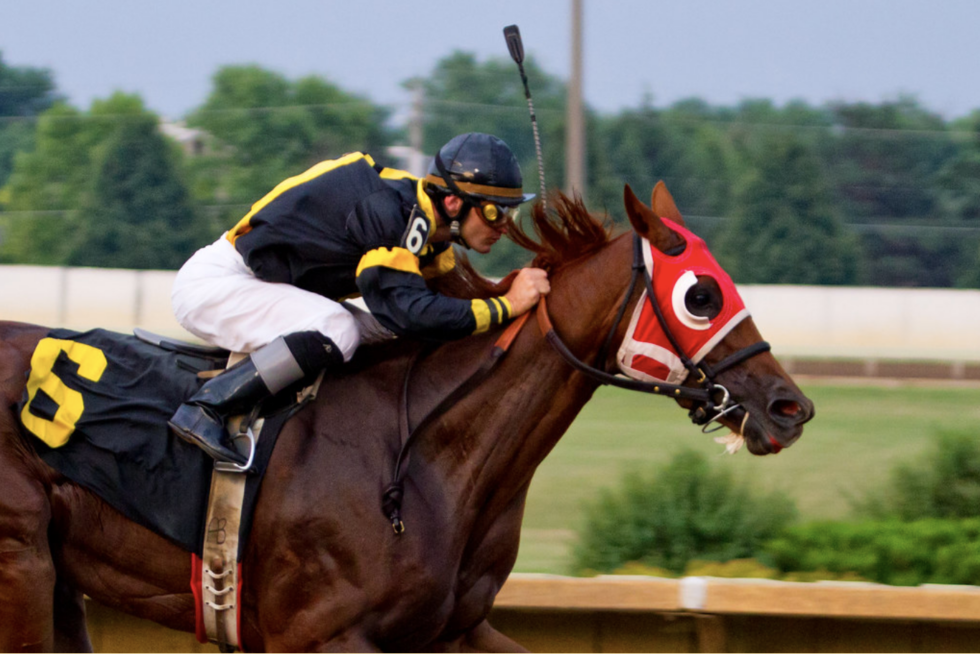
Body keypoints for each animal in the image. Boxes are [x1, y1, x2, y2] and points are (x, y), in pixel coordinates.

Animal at [0, 184, 812, 652]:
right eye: (700, 295)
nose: (790, 407)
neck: (426, 456)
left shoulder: (454, 630)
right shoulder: (318, 636)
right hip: (22, 564)